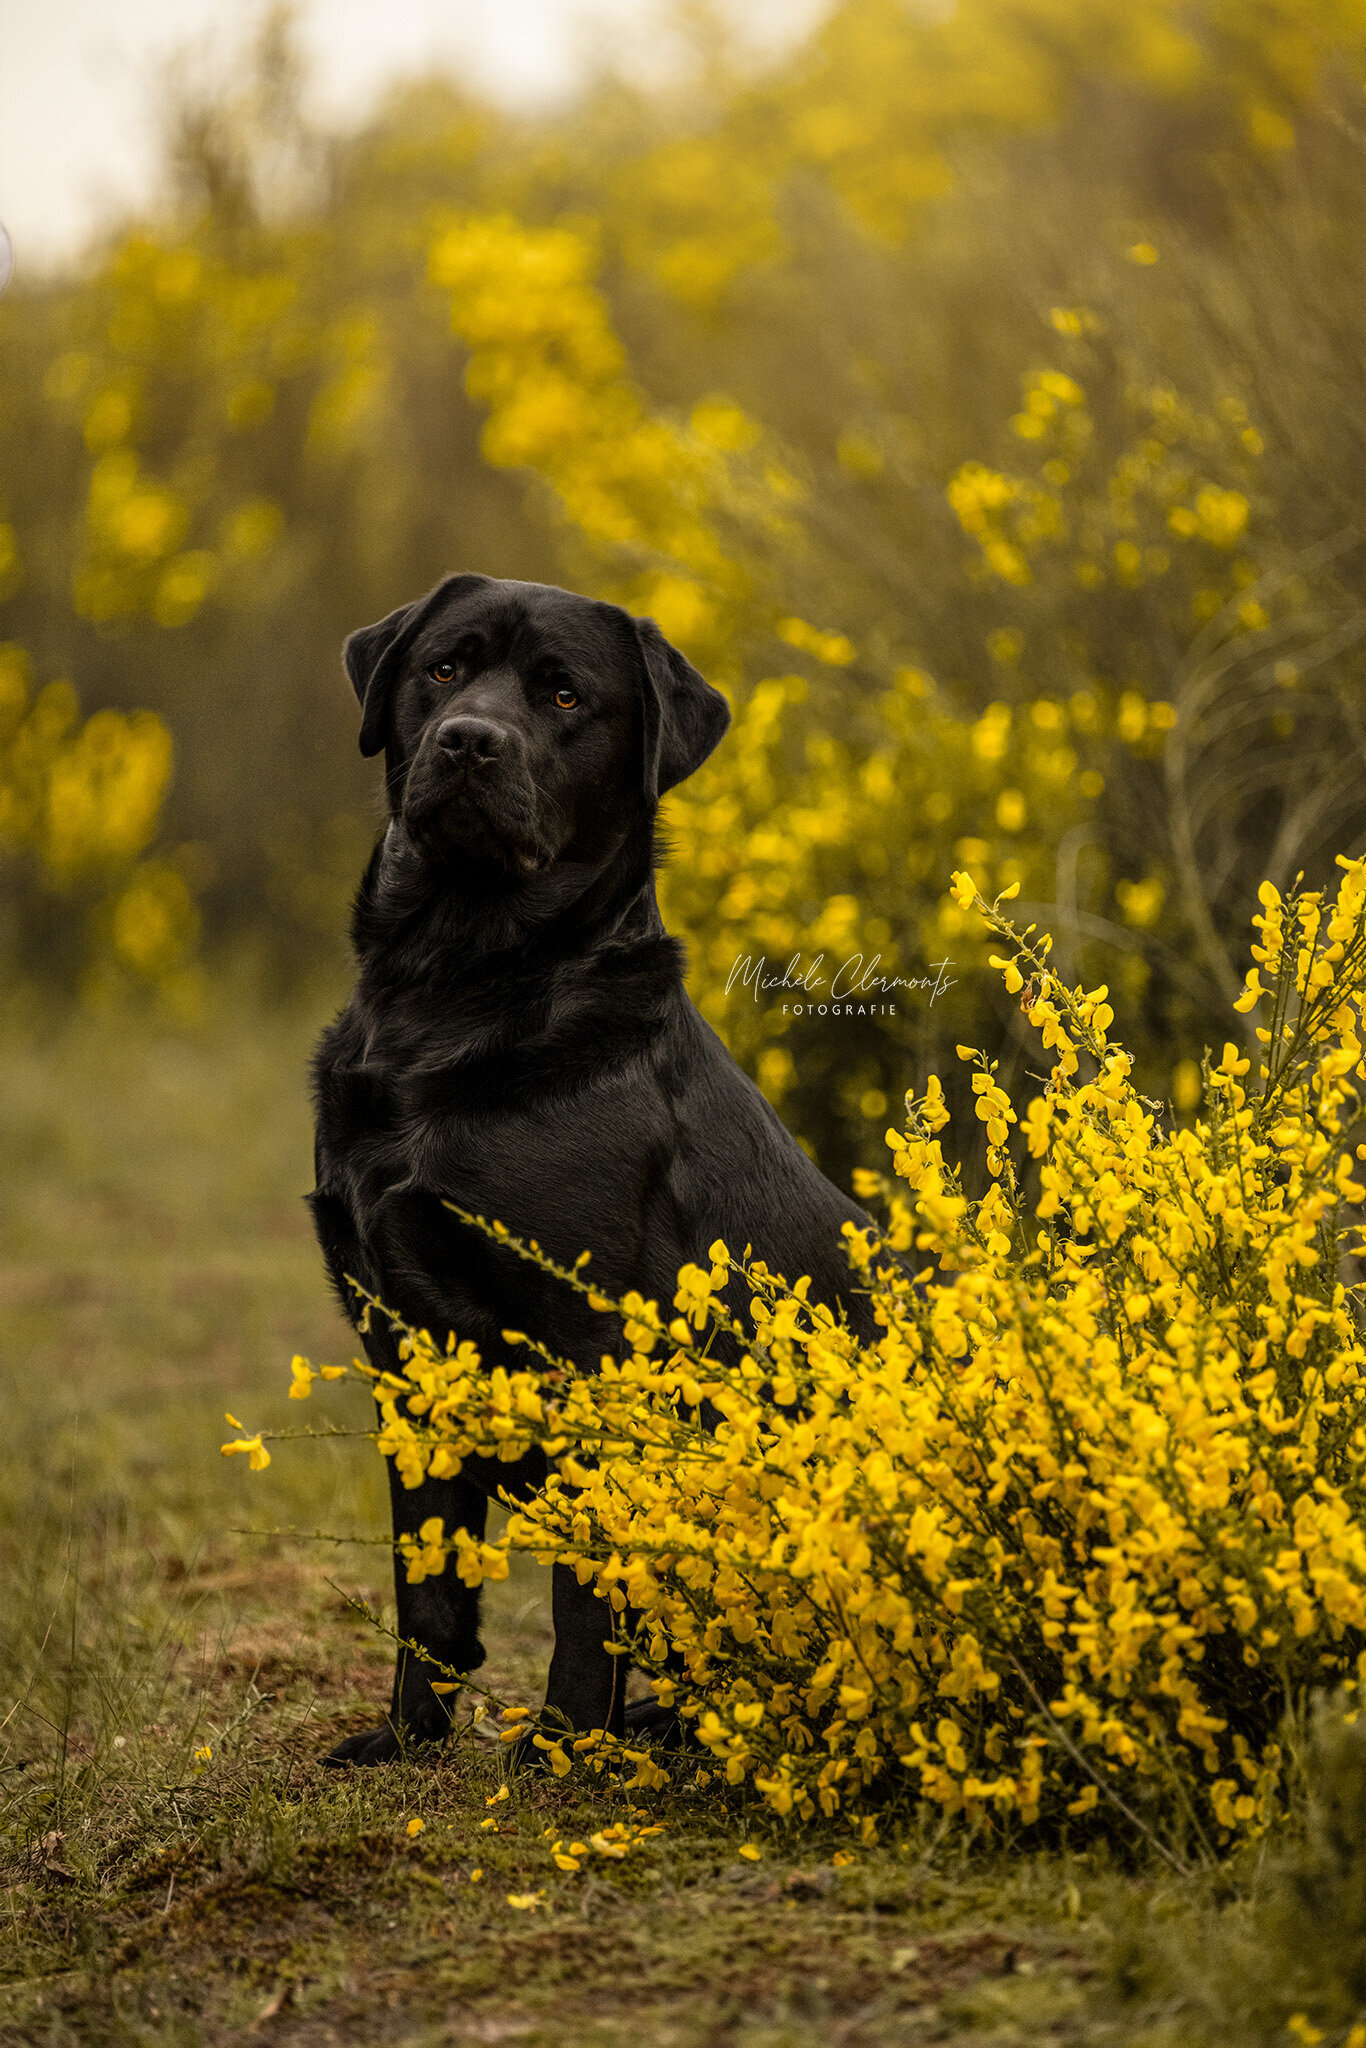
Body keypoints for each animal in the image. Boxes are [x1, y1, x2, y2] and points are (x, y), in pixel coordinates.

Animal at [309, 573, 876, 1761]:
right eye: (442, 667)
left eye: (564, 695)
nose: (469, 740)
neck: (456, 992)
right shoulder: (402, 1346)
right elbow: (427, 1578)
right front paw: (409, 1735)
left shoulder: (589, 1345)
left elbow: (588, 1578)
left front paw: (566, 1744)